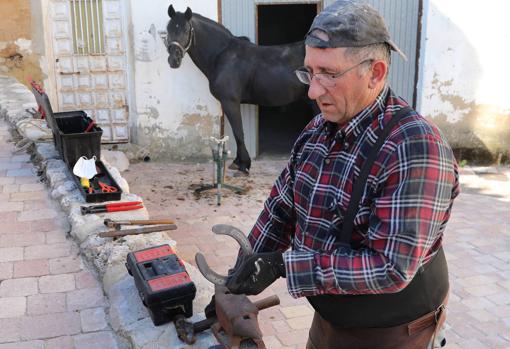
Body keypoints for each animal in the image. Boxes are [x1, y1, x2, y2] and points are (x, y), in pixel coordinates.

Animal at [168, 5, 310, 174]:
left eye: (185, 30)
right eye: (168, 29)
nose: (174, 60)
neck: (222, 55)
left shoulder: (230, 102)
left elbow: (238, 133)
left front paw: (243, 165)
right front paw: (239, 162)